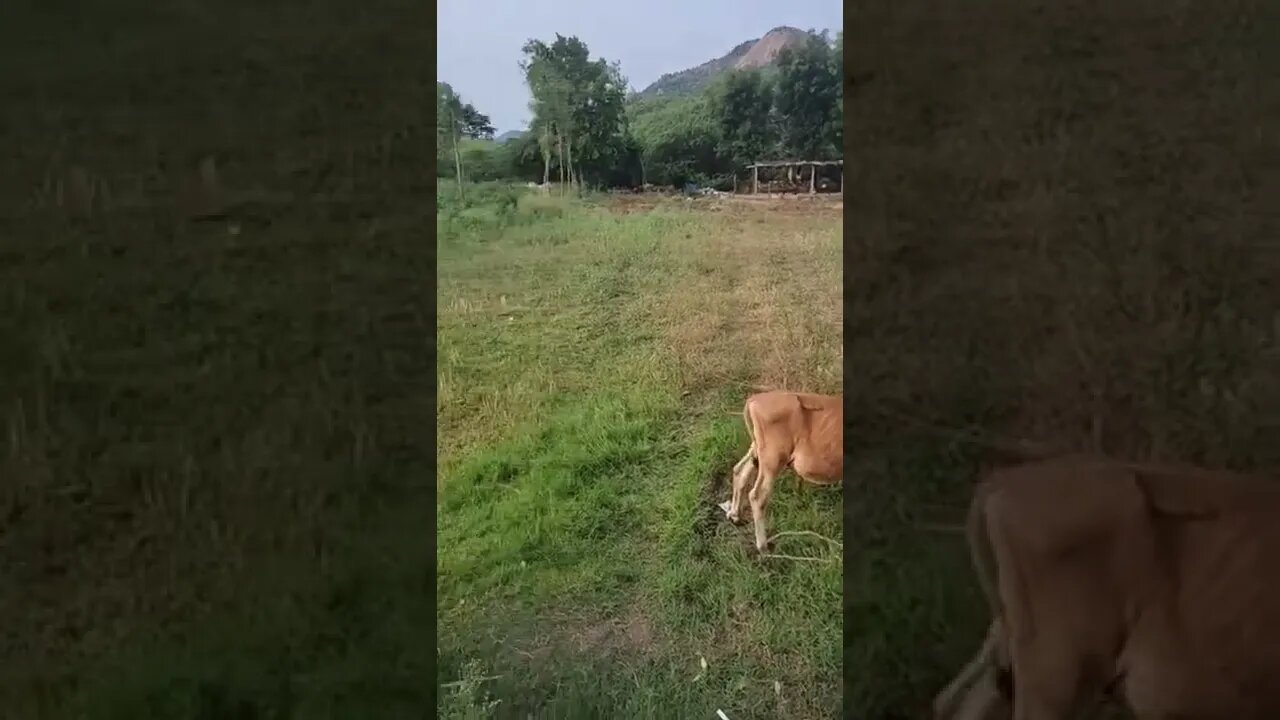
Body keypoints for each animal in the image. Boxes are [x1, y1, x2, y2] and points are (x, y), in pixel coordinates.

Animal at [727, 392, 844, 548]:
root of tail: (754, 399)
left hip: (757, 450)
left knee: (740, 471)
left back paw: (735, 515)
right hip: (772, 459)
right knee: (758, 495)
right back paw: (763, 546)